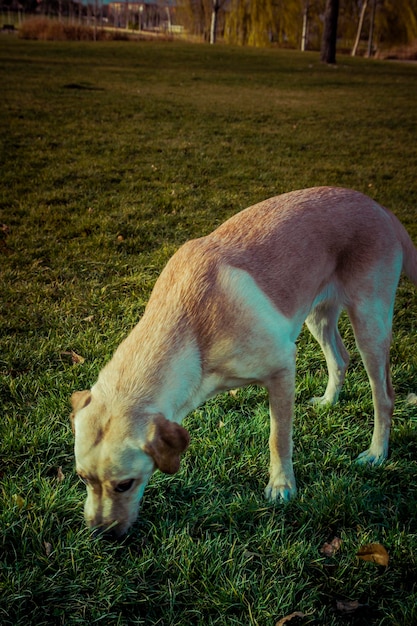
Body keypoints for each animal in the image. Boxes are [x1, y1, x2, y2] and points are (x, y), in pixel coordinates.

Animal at [70, 185, 414, 536]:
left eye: (125, 484)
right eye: (83, 478)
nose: (99, 532)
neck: (191, 328)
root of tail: (376, 205)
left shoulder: (283, 367)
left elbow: (279, 437)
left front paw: (281, 485)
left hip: (370, 323)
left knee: (384, 395)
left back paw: (376, 452)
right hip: (317, 315)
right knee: (340, 359)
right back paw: (329, 401)